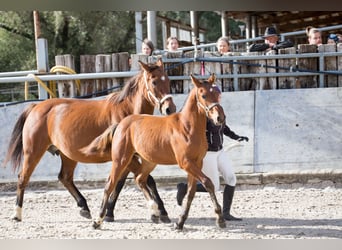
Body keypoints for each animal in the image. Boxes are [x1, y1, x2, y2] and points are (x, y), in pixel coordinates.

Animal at [3, 58, 176, 223]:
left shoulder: (128, 158)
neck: (127, 113)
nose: (170, 109)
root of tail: (35, 107)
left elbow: (127, 182)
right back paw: (16, 214)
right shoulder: (126, 157)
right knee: (23, 178)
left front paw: (110, 213)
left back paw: (84, 207)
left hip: (68, 155)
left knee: (65, 177)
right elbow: (142, 180)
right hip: (33, 152)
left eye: (167, 79)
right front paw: (159, 212)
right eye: (154, 81)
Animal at [82, 73, 227, 230]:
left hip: (149, 161)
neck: (187, 127)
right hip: (120, 160)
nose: (220, 118)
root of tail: (121, 123)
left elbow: (190, 193)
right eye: (204, 95)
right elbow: (208, 182)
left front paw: (180, 222)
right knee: (110, 184)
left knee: (140, 179)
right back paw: (98, 220)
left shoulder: (197, 163)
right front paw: (220, 219)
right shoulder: (185, 163)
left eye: (218, 94)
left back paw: (155, 211)